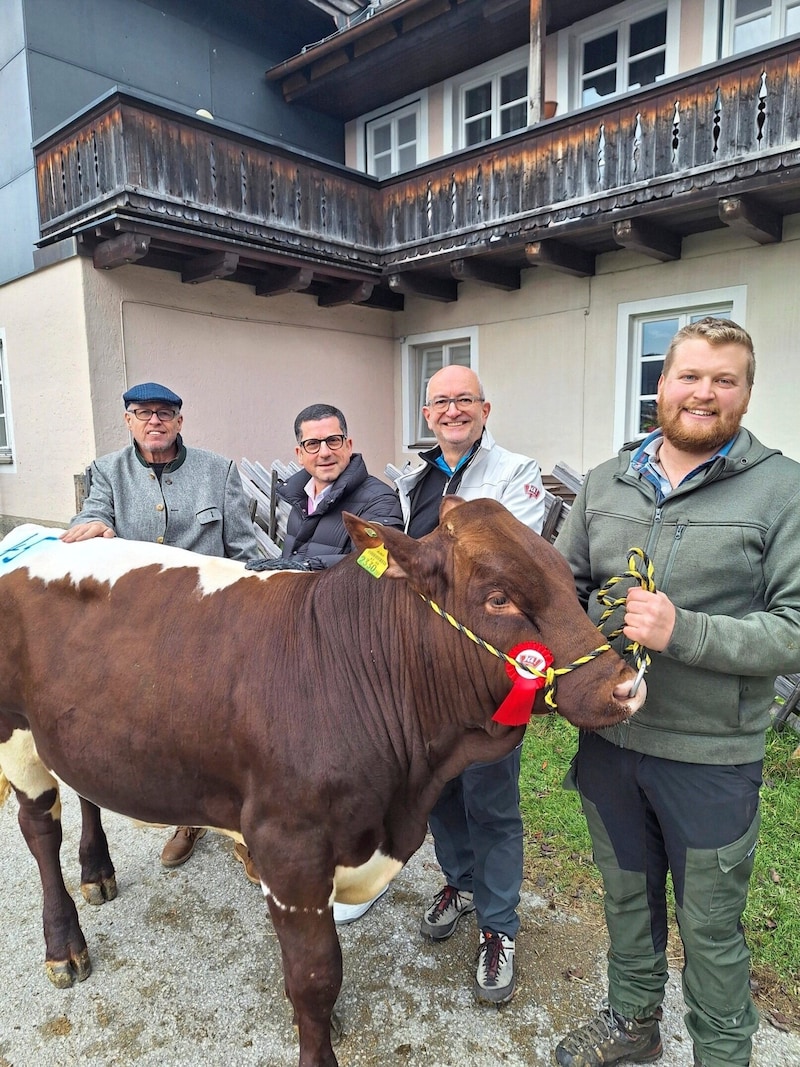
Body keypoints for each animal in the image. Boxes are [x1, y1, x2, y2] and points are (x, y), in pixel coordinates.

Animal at [0, 499, 644, 1067]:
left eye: (563, 574)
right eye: (498, 597)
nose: (626, 686)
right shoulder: (290, 848)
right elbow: (315, 975)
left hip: (80, 735)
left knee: (85, 792)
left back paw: (97, 872)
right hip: (16, 736)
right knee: (39, 831)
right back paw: (64, 946)